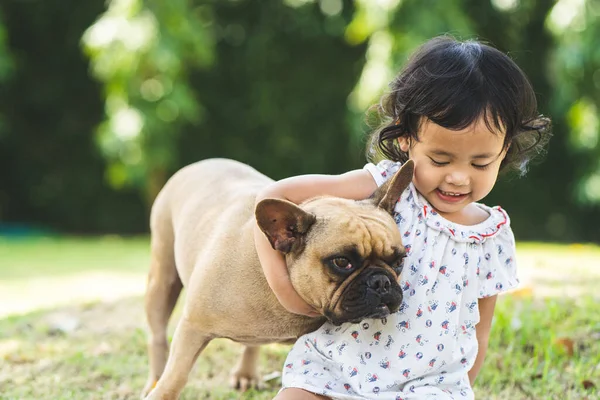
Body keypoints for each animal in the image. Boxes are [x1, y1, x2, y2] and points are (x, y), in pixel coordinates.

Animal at [142, 158, 412, 398]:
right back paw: (154, 379)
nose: (381, 282)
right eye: (342, 262)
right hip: (163, 278)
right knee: (157, 336)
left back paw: (246, 374)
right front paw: (160, 392)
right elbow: (175, 376)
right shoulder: (193, 325)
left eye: (399, 261)